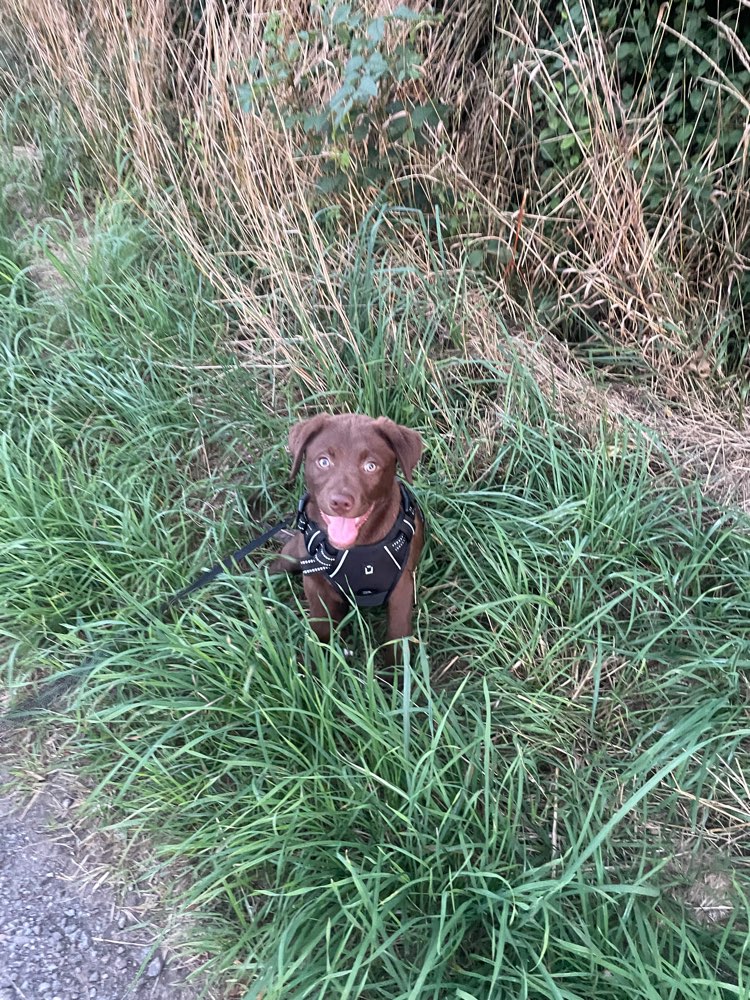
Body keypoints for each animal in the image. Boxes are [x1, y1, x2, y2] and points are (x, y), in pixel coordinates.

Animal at [272, 410, 424, 660]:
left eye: (370, 466)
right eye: (324, 461)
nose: (340, 502)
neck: (356, 549)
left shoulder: (402, 587)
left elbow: (397, 636)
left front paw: (399, 670)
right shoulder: (315, 583)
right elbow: (320, 629)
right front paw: (317, 665)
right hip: (292, 556)